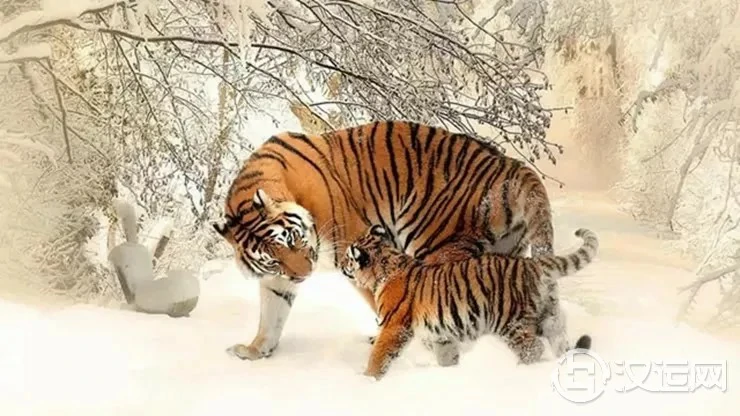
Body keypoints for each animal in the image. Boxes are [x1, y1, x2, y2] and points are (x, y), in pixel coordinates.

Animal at [212, 120, 555, 361]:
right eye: (273, 259)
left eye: (294, 239)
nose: (304, 275)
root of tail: (510, 165)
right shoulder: (277, 278)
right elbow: (272, 313)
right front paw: (255, 350)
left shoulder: (355, 250)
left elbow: (380, 300)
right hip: (503, 254)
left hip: (437, 245)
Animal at [339, 224, 597, 380]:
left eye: (347, 258)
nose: (340, 265)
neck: (384, 267)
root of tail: (532, 264)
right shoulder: (441, 334)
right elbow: (447, 356)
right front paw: (450, 373)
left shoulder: (394, 327)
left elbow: (379, 355)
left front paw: (368, 379)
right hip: (549, 315)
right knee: (560, 341)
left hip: (510, 321)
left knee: (533, 349)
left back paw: (520, 371)